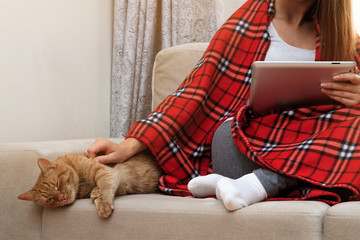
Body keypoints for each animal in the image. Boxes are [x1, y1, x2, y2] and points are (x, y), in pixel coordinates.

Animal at [17, 152, 161, 218]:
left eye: (57, 184)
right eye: (49, 200)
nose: (62, 197)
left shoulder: (105, 171)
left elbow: (105, 188)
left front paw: (103, 204)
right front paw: (96, 193)